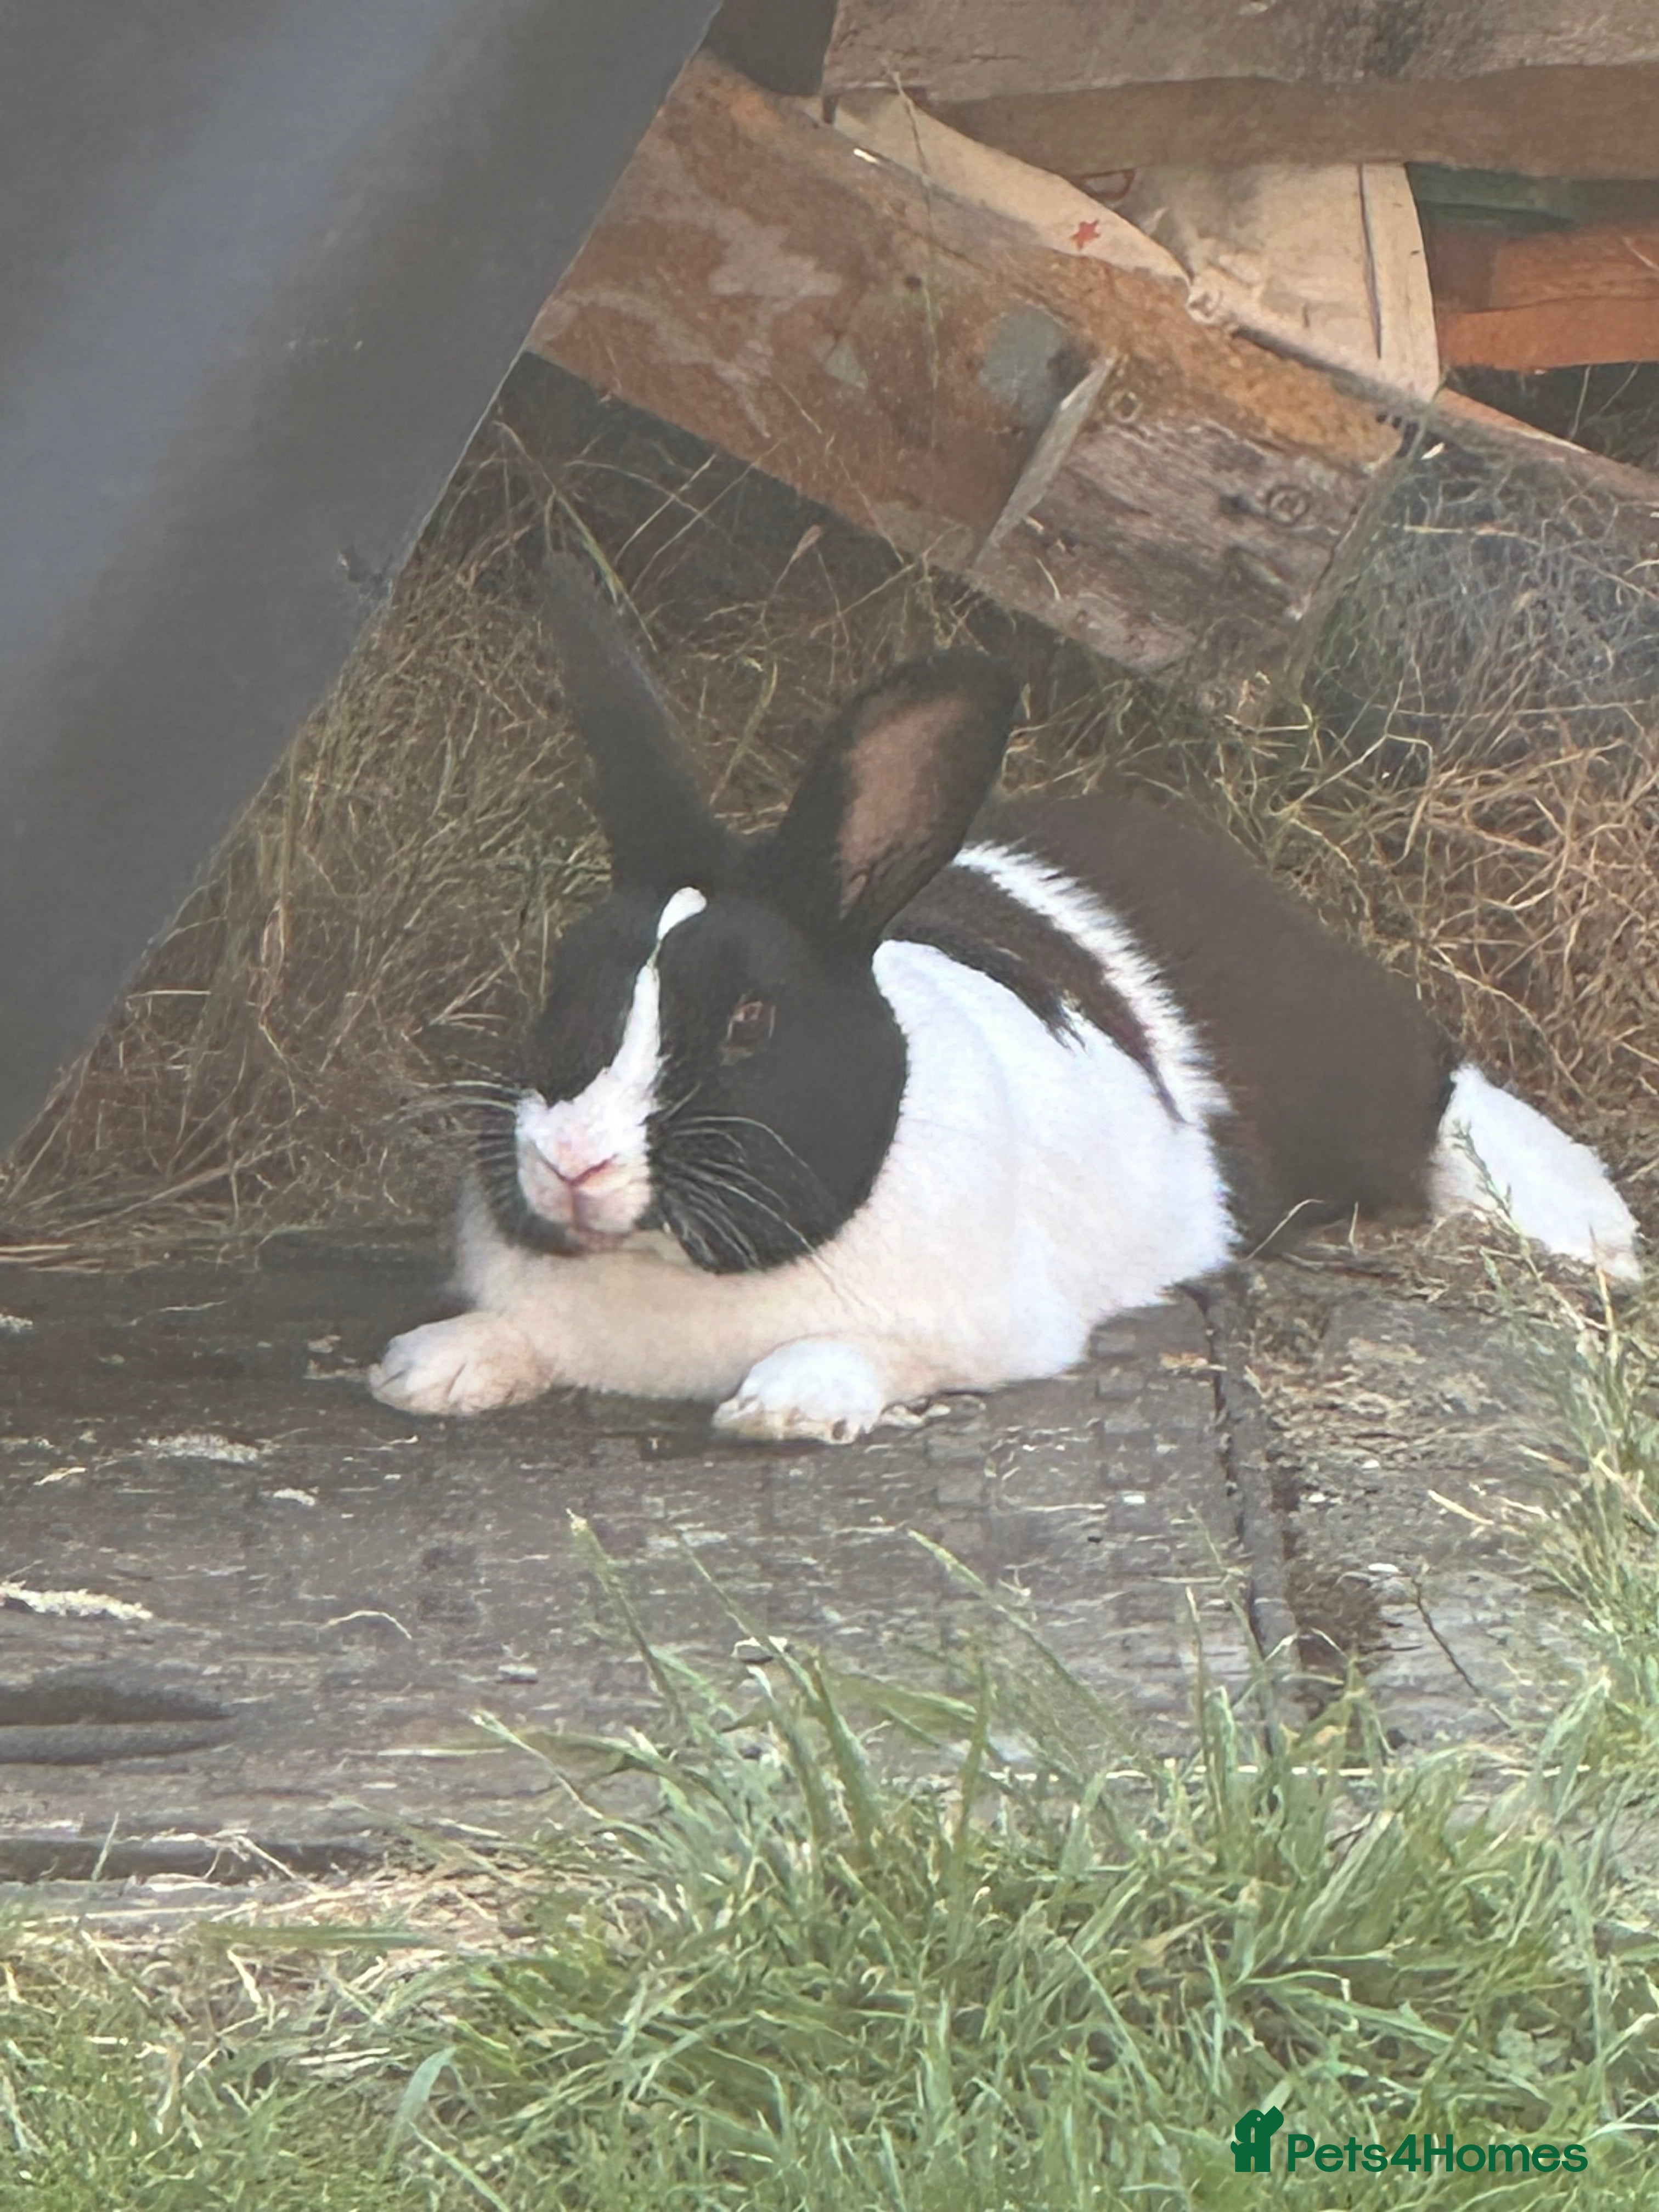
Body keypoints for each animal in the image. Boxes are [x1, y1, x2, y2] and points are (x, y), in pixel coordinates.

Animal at [368, 557, 1641, 1443]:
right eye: (561, 986)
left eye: (748, 1023)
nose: (572, 1161)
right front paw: (431, 1368)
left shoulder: (988, 1327)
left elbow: (878, 1352)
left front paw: (789, 1406)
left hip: (1365, 1088)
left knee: (1446, 1107)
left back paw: (1594, 1235)